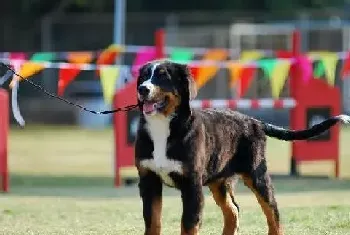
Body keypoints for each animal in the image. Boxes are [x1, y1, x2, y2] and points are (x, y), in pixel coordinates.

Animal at [135, 59, 350, 235]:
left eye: (163, 75)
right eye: (144, 76)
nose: (142, 89)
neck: (163, 127)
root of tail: (254, 121)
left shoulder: (192, 185)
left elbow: (188, 225)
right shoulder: (148, 180)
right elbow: (152, 222)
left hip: (257, 175)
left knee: (273, 212)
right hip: (220, 181)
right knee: (233, 211)